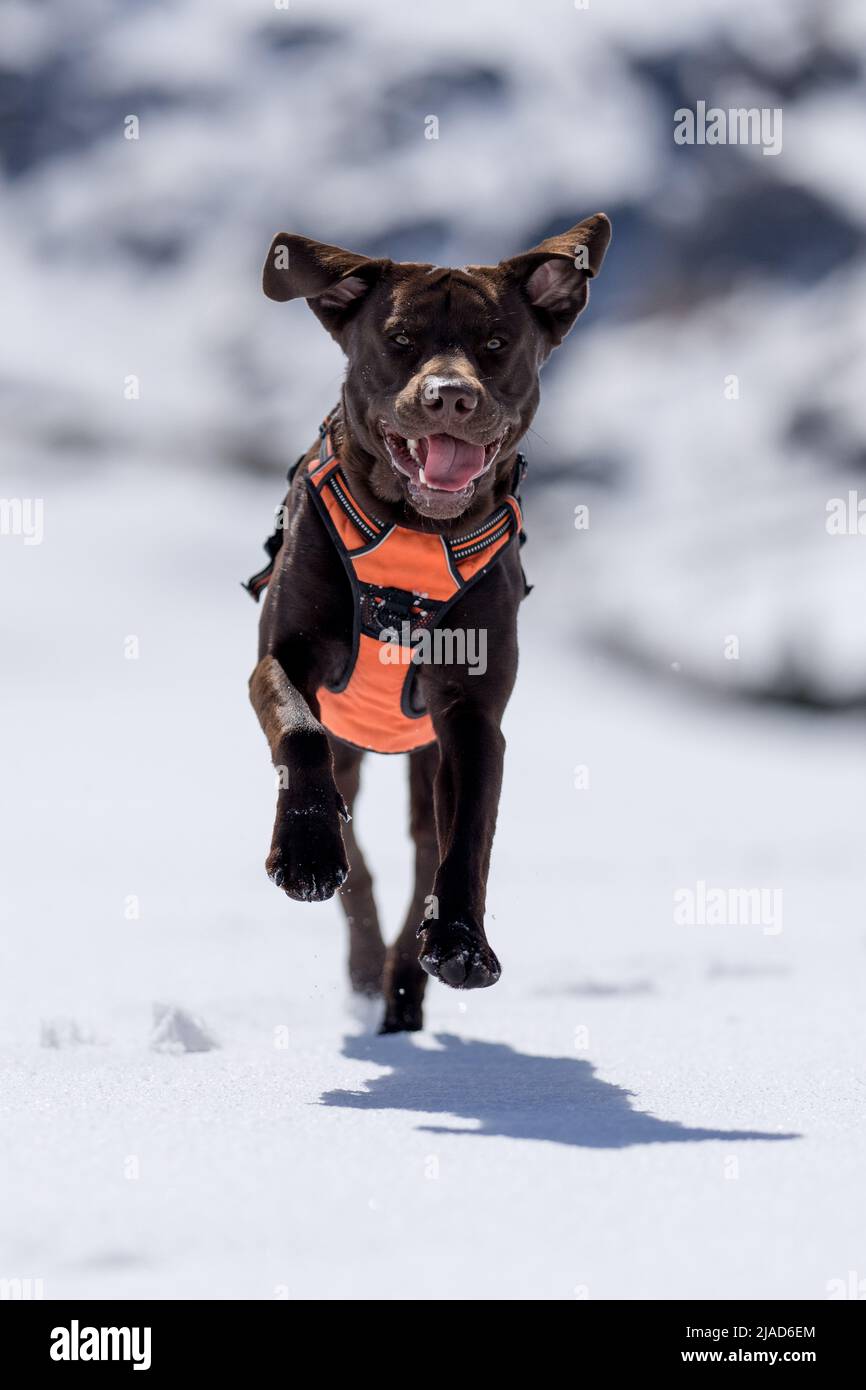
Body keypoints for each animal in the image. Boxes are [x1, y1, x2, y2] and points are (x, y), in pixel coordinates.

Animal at [246, 211, 608, 1028]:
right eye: (401, 338)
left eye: (497, 343)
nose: (450, 396)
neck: (413, 532)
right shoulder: (283, 659)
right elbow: (301, 731)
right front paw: (306, 854)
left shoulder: (471, 713)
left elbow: (467, 829)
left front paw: (464, 946)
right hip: (355, 750)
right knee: (355, 844)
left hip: (423, 757)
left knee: (421, 854)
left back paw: (403, 993)